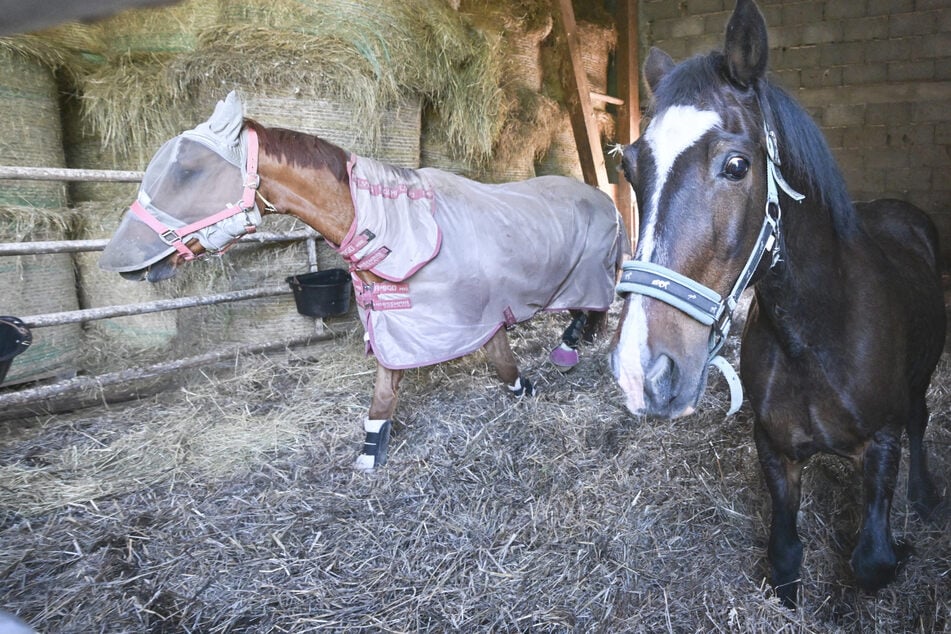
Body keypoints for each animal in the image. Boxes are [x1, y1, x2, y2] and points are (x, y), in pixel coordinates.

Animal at [100, 92, 628, 470]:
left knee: (593, 306)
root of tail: (600, 196)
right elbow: (387, 390)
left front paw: (525, 389)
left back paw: (570, 347)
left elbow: (498, 362)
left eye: (188, 170)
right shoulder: (396, 322)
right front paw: (372, 448)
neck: (400, 229)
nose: (114, 260)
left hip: (594, 270)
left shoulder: (470, 315)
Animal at [608, 0, 944, 608]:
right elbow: (785, 560)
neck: (815, 335)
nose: (641, 371)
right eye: (629, 168)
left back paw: (927, 496)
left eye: (737, 165)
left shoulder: (881, 443)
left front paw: (902, 549)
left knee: (919, 419)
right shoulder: (773, 448)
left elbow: (872, 561)